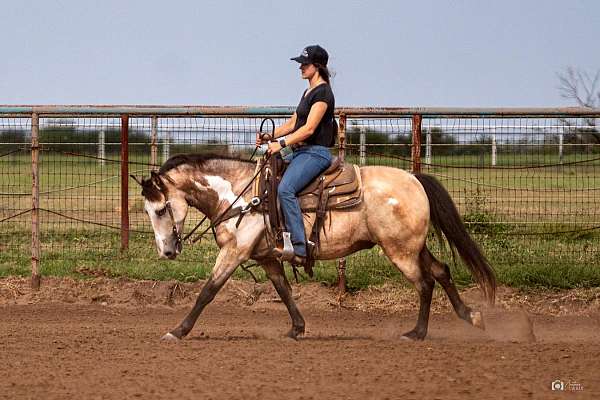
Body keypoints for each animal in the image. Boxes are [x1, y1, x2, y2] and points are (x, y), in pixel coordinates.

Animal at [134, 153, 494, 340]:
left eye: (161, 209)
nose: (167, 251)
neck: (241, 196)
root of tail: (414, 178)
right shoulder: (266, 258)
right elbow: (283, 290)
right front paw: (297, 328)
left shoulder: (234, 252)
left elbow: (208, 291)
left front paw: (178, 330)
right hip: (411, 246)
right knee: (441, 271)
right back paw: (471, 316)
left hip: (400, 251)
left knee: (425, 282)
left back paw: (417, 333)